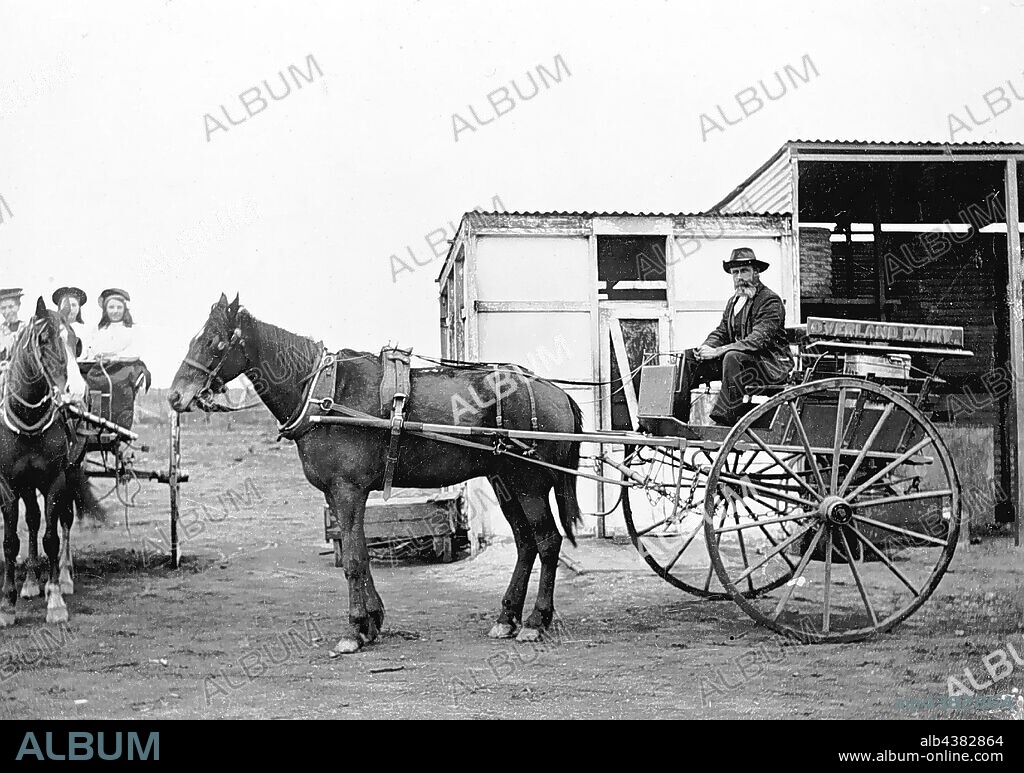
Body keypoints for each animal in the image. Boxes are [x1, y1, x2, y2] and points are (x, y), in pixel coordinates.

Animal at [168, 292, 585, 655]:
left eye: (214, 342)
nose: (174, 396)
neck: (324, 394)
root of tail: (556, 393)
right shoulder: (339, 493)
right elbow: (361, 552)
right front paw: (372, 622)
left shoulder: (348, 489)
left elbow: (354, 559)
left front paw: (354, 630)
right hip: (505, 483)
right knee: (526, 543)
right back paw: (507, 617)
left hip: (529, 485)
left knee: (547, 541)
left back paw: (535, 621)